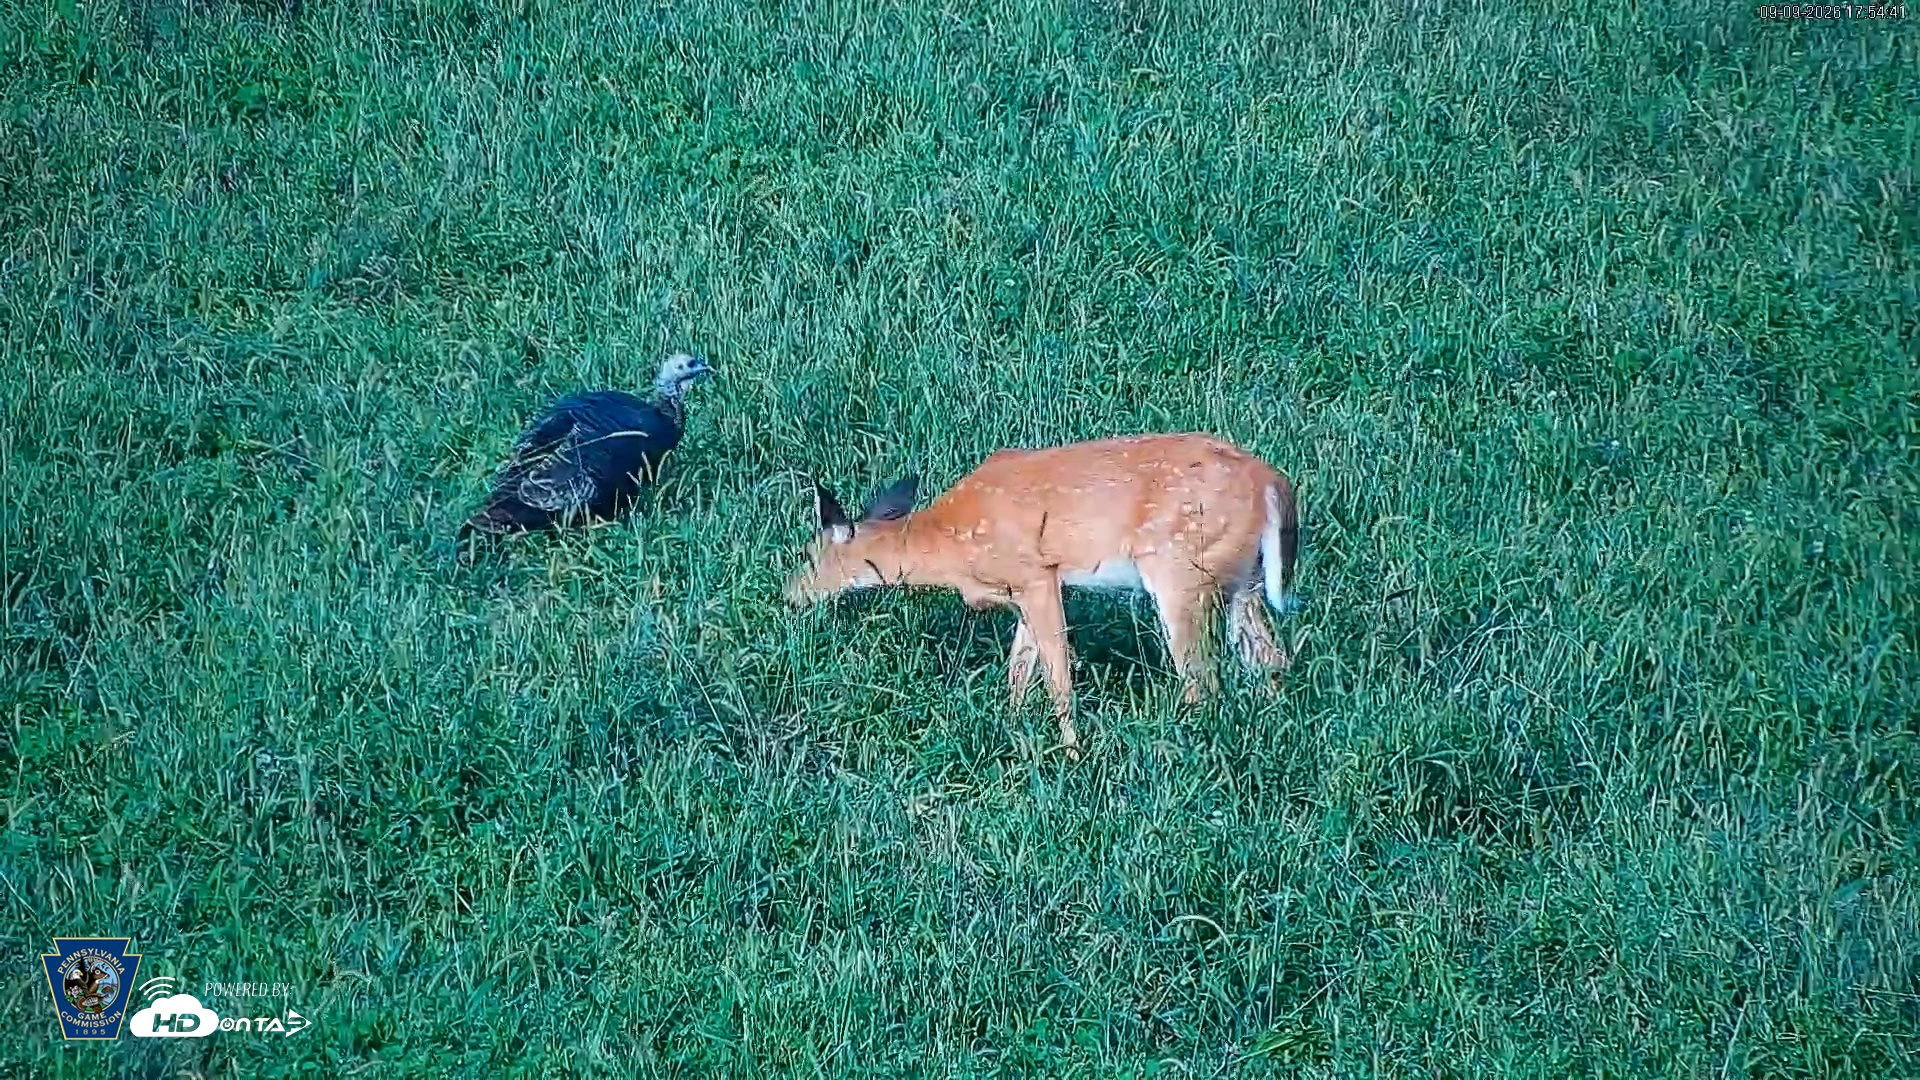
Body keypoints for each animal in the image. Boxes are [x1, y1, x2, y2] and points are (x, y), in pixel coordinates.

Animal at [782, 433, 1300, 759]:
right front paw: (1010, 730)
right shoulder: (1020, 593)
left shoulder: (1037, 574)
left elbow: (1057, 676)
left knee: (1203, 680)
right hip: (1243, 578)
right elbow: (1018, 670)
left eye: (807, 554)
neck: (949, 545)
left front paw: (1071, 752)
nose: (788, 596)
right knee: (1271, 658)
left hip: (1181, 570)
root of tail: (1273, 484)